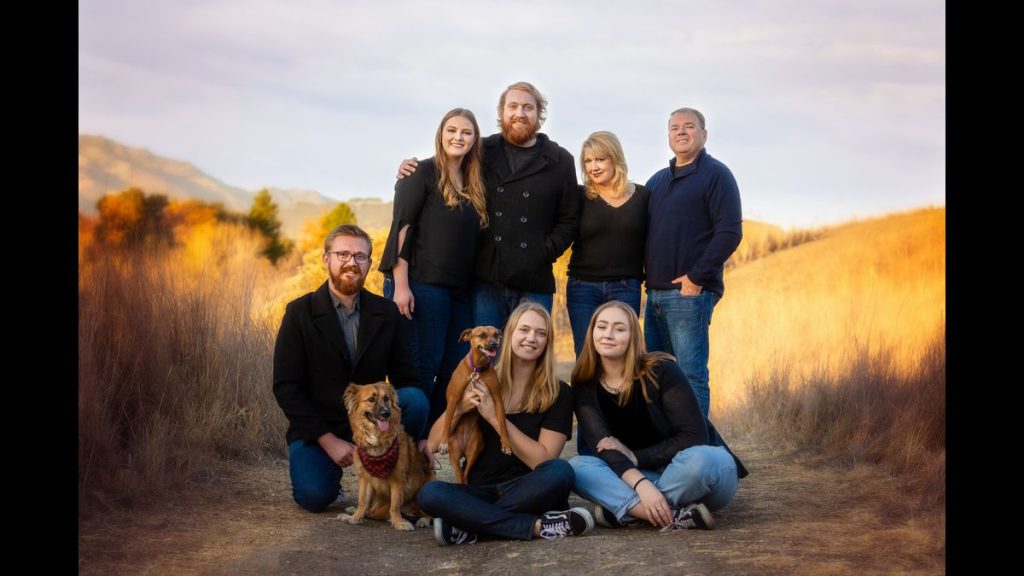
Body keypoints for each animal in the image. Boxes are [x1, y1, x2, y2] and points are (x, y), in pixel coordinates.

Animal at [438, 325, 509, 481]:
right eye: (482, 335)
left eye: (496, 334)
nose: (494, 344)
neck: (477, 369)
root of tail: (464, 448)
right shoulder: (453, 399)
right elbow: (447, 421)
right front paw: (443, 442)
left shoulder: (497, 400)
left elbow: (502, 423)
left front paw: (506, 443)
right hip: (454, 456)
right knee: (459, 474)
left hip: (474, 453)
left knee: (465, 473)